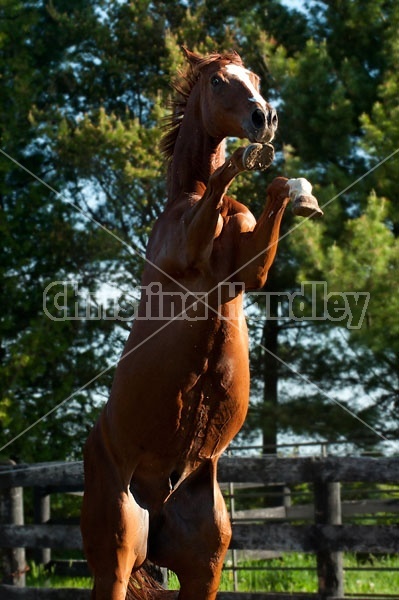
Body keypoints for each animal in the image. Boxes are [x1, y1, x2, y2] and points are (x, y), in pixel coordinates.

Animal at [81, 49, 294, 596]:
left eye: (254, 78)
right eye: (219, 81)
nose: (264, 117)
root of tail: (157, 499)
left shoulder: (249, 272)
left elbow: (275, 195)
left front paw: (291, 184)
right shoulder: (189, 254)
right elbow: (220, 185)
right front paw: (241, 162)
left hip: (205, 565)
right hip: (114, 557)